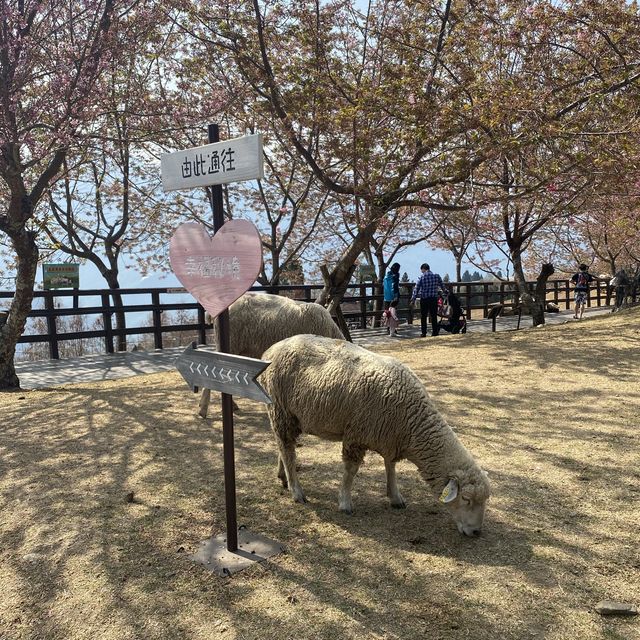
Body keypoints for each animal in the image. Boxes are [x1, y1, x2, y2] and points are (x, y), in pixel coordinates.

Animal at [260, 336, 490, 536]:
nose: (476, 532)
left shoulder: (390, 438)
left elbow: (391, 467)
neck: (412, 421)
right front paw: (345, 503)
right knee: (288, 450)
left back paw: (283, 477)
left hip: (291, 417)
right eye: (466, 498)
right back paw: (296, 491)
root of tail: (271, 349)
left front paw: (395, 497)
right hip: (281, 410)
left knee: (283, 447)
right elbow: (350, 471)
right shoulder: (356, 436)